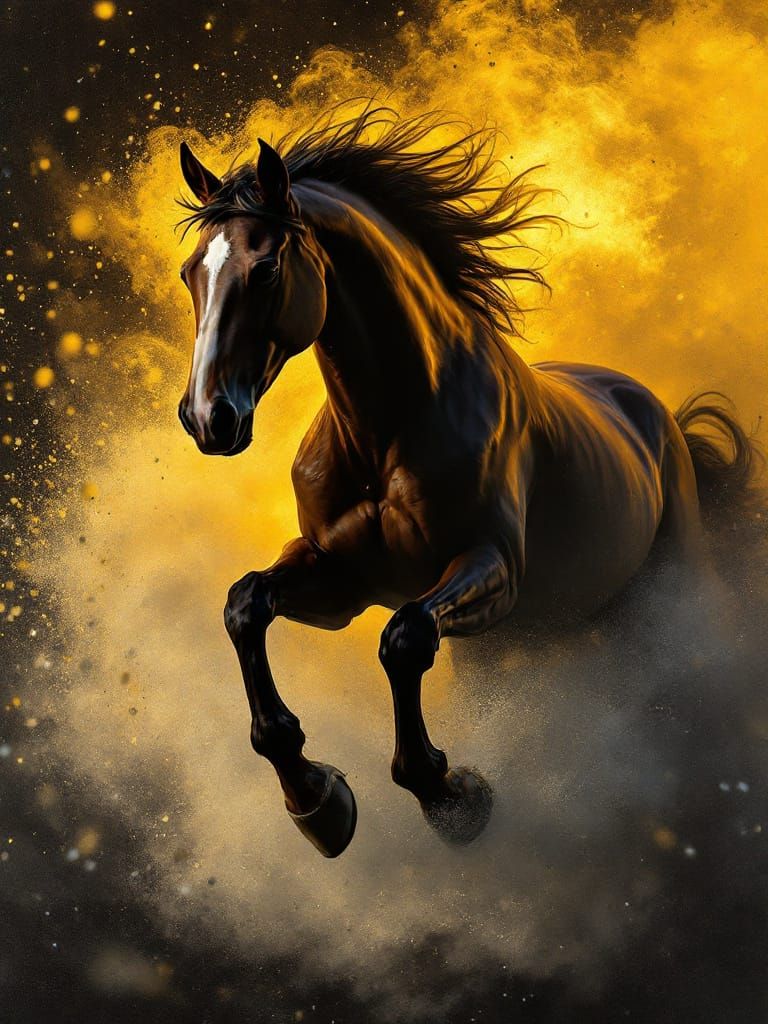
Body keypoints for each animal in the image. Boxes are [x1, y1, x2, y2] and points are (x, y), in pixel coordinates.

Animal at [175, 107, 755, 858]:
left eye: (267, 266)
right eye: (191, 271)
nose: (208, 417)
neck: (386, 434)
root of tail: (659, 419)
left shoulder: (492, 568)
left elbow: (405, 638)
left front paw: (451, 798)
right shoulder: (338, 582)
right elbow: (246, 605)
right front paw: (318, 803)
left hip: (657, 594)